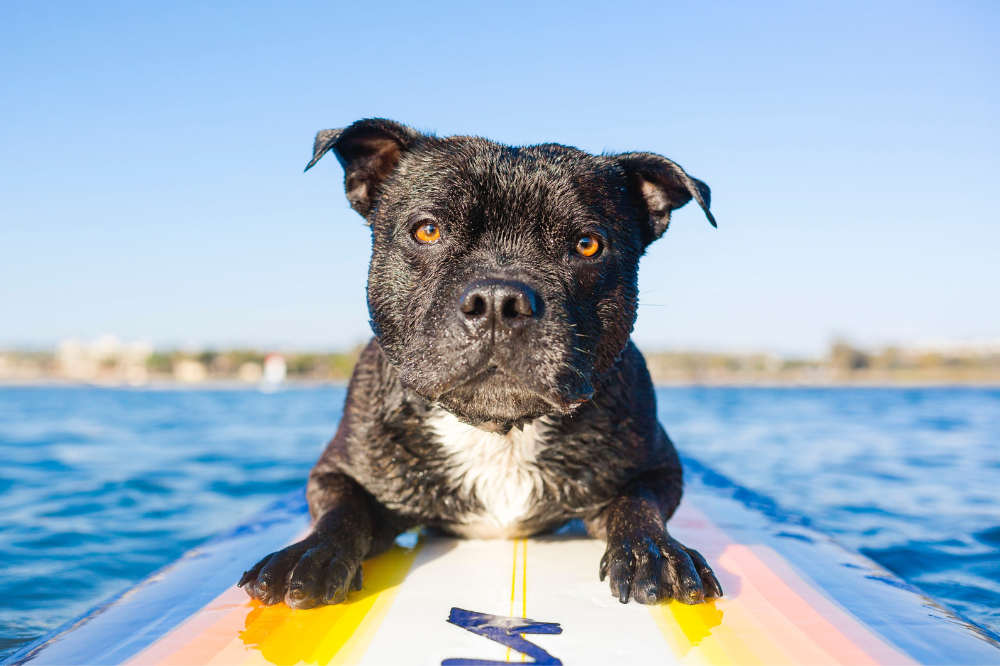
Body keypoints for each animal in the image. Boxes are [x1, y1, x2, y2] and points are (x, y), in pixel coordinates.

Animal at [236, 118, 720, 608]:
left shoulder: (658, 466)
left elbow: (638, 501)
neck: (496, 434)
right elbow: (341, 508)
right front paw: (309, 554)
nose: (498, 300)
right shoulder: (338, 470)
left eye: (587, 245)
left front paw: (654, 550)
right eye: (427, 231)